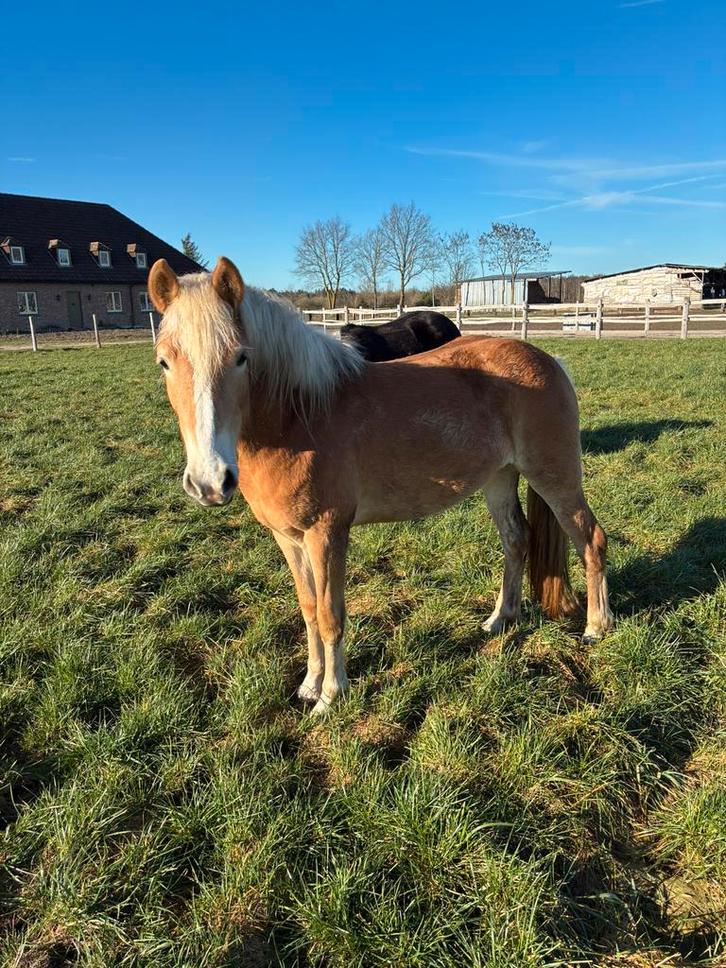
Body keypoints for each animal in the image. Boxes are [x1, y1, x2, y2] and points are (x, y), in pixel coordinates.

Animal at [148, 256, 614, 715]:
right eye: (164, 362)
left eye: (241, 358)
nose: (210, 482)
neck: (301, 416)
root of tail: (548, 359)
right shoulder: (289, 538)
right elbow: (309, 610)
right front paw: (309, 685)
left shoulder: (327, 535)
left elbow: (331, 616)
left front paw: (330, 696)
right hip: (499, 478)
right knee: (517, 540)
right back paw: (501, 619)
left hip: (553, 475)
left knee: (591, 539)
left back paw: (596, 626)